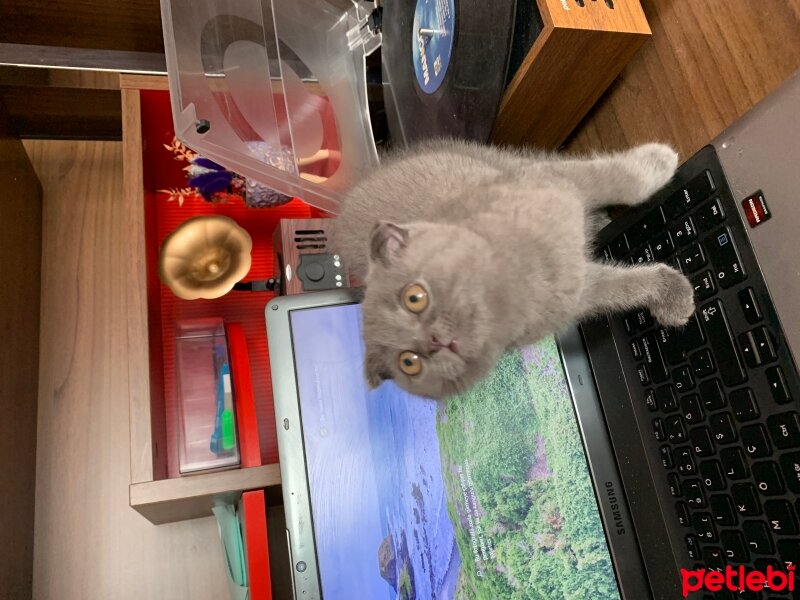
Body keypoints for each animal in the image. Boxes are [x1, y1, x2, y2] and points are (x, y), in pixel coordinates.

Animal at [332, 140, 692, 400]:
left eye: (414, 297)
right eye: (409, 362)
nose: (432, 342)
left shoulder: (553, 180)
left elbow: (618, 180)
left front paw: (659, 161)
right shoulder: (579, 293)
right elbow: (625, 288)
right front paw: (676, 298)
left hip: (496, 159)